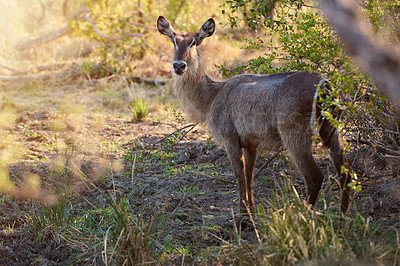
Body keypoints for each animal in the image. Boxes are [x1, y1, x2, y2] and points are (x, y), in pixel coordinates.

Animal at [156, 15, 350, 217]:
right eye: (173, 40)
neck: (212, 96)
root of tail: (324, 84)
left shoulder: (230, 138)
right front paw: (252, 212)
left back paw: (301, 216)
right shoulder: (250, 143)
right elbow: (250, 175)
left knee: (315, 177)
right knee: (345, 172)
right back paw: (342, 216)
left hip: (295, 136)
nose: (179, 65)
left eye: (194, 41)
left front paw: (242, 217)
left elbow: (239, 175)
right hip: (332, 131)